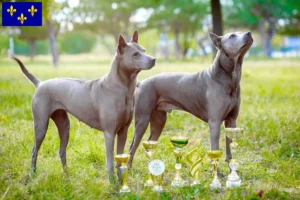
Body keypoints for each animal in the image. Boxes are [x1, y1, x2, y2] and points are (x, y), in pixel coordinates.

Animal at [12, 30, 156, 182]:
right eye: (135, 54)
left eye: (144, 50)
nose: (153, 60)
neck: (123, 88)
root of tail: (40, 84)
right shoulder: (109, 133)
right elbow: (110, 162)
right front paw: (113, 183)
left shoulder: (123, 131)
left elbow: (120, 159)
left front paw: (121, 181)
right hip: (41, 125)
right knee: (34, 150)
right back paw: (33, 173)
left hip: (64, 126)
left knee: (61, 151)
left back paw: (67, 175)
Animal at [127, 31, 252, 166]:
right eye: (232, 36)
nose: (249, 33)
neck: (227, 78)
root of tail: (141, 83)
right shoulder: (215, 122)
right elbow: (215, 149)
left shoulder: (231, 120)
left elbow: (229, 147)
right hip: (142, 119)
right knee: (133, 146)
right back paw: (128, 167)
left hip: (159, 120)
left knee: (150, 142)